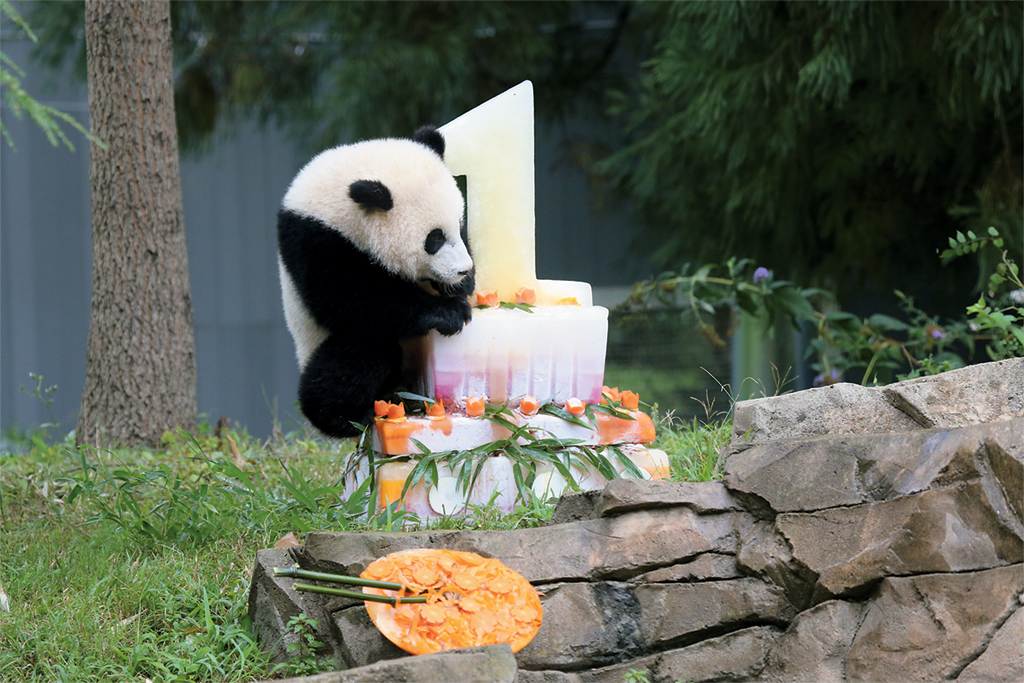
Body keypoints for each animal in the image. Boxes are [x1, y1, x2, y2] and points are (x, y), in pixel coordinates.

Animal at [278, 127, 473, 438]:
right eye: (435, 239)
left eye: (459, 223)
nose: (463, 270)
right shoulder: (315, 241)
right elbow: (352, 300)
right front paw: (450, 312)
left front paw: (458, 288)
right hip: (316, 340)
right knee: (361, 355)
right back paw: (343, 416)